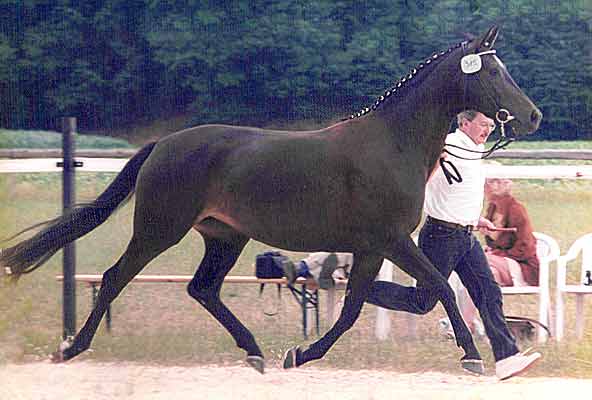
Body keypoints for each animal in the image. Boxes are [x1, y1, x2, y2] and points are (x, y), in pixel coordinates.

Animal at [0, 26, 540, 374]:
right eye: (493, 72)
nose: (533, 116)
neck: (392, 144)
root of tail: (163, 143)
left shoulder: (370, 248)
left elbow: (353, 307)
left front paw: (300, 354)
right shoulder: (390, 240)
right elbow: (441, 288)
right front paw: (472, 357)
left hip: (226, 237)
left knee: (202, 289)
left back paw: (255, 350)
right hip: (159, 230)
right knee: (115, 278)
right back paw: (72, 348)